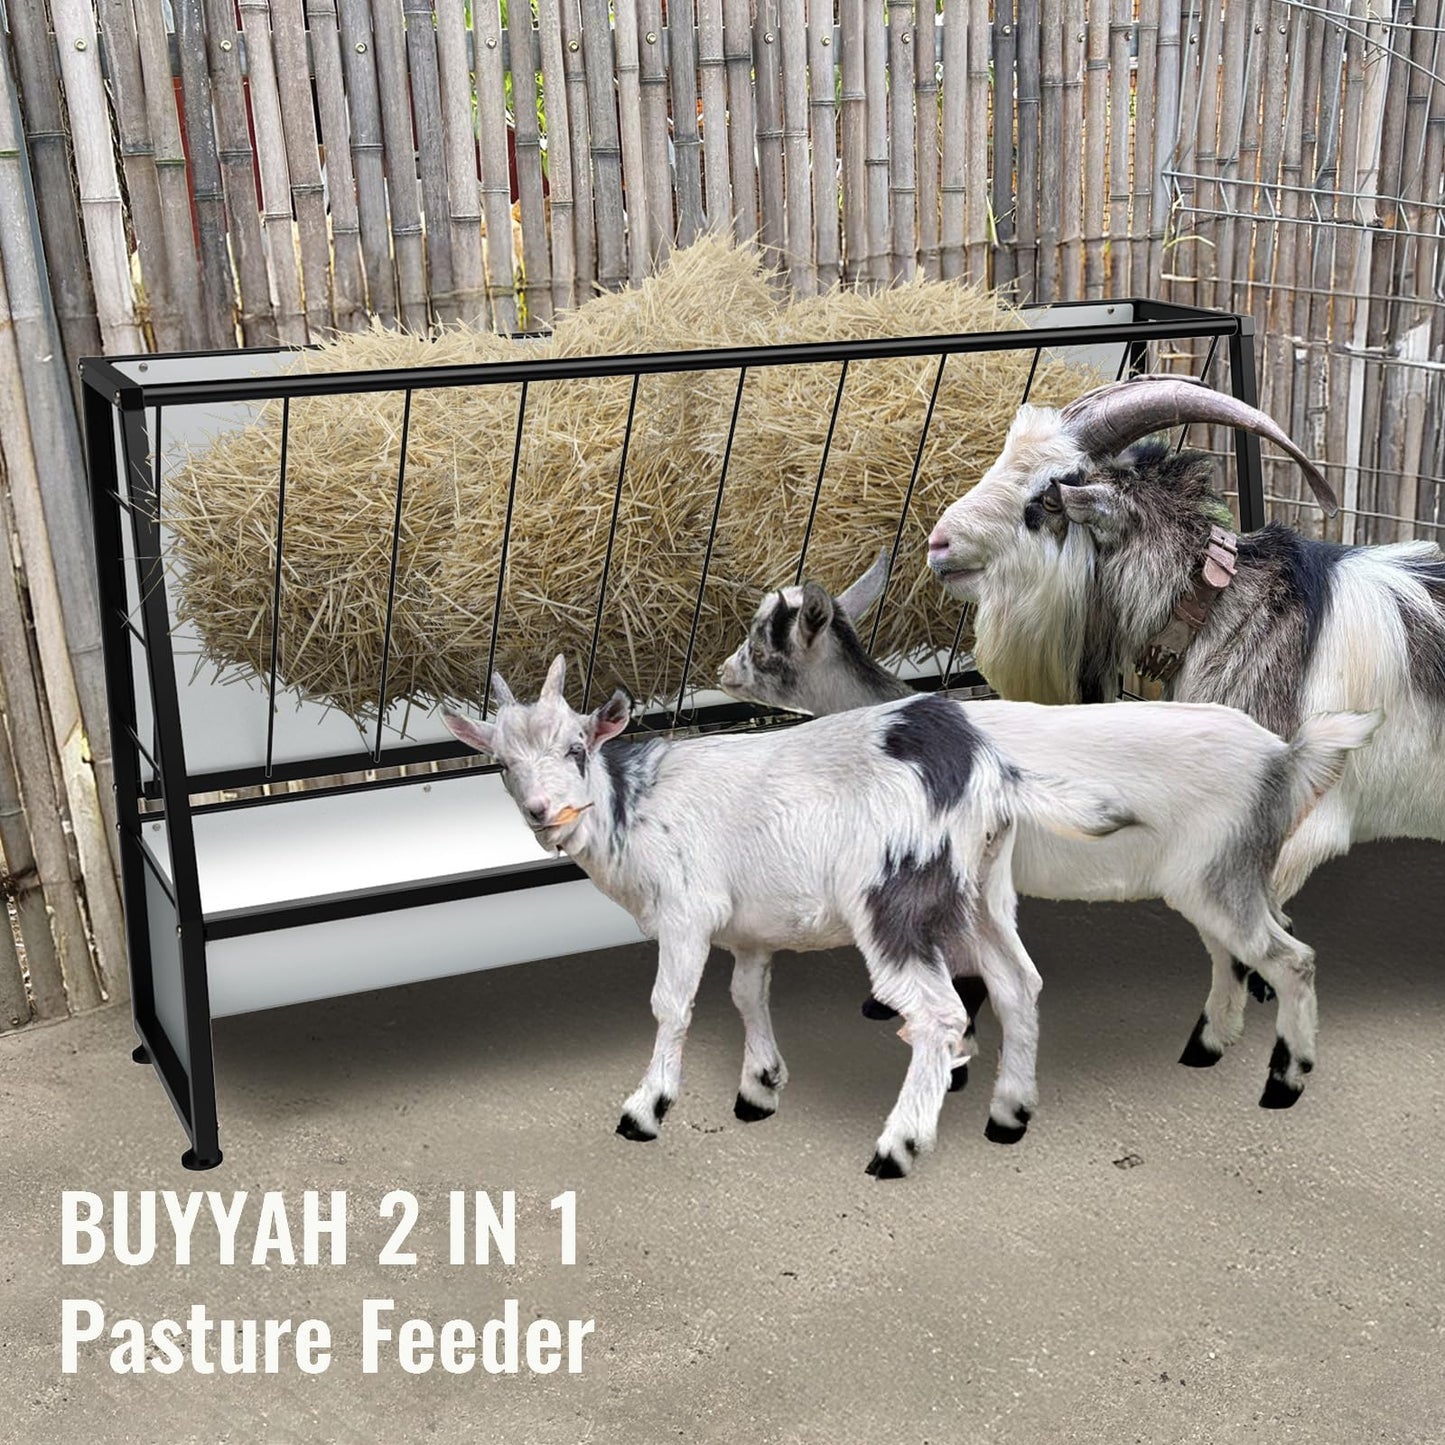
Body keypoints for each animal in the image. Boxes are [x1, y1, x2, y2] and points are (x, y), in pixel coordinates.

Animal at [442, 653, 1140, 1176]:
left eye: (576, 748)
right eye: (502, 763)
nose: (543, 813)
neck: (633, 809)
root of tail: (988, 768)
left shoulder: (687, 911)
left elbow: (671, 1005)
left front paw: (647, 1108)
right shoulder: (751, 928)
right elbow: (747, 993)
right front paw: (760, 1084)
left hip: (893, 894)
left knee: (939, 1013)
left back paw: (899, 1145)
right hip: (980, 891)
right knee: (1019, 983)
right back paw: (1010, 1113)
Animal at [717, 552, 1381, 1097]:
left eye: (764, 639)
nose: (724, 673)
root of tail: (1284, 759)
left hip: (1219, 875)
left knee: (1289, 959)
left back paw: (1287, 1077)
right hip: (1220, 878)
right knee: (1237, 952)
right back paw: (1210, 1044)